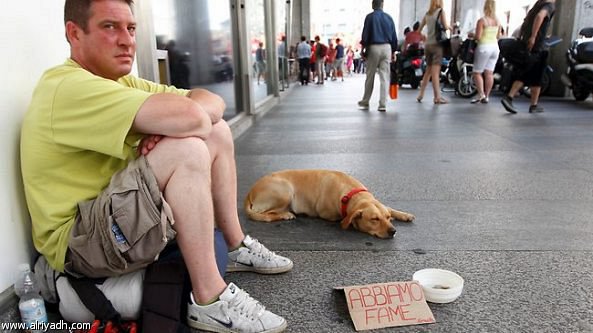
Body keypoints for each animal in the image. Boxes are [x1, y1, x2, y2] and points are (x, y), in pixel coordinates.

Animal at [243, 170, 414, 237]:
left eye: (388, 218)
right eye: (374, 219)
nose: (393, 231)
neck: (351, 193)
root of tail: (250, 191)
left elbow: (390, 207)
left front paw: (403, 214)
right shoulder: (331, 214)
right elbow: (344, 218)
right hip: (285, 190)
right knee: (263, 214)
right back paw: (285, 214)